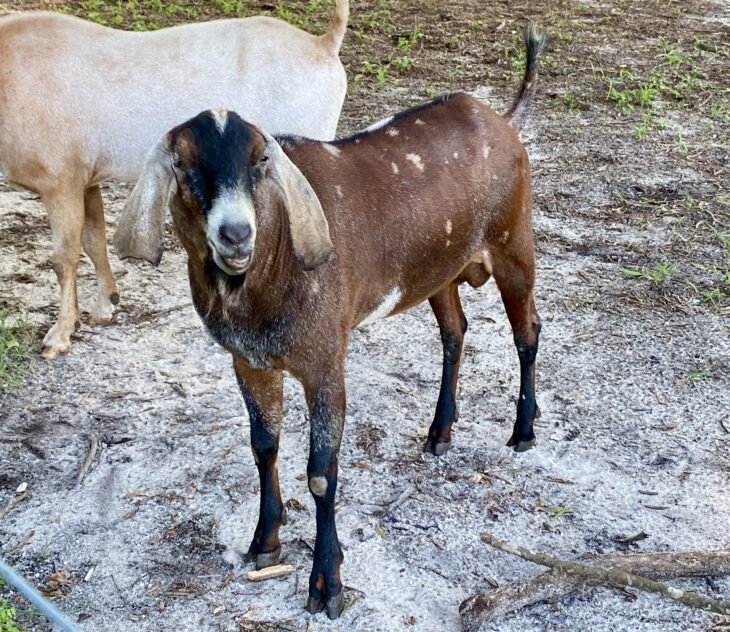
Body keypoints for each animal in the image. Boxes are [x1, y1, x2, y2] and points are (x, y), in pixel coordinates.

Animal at [0, 1, 348, 358]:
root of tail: (322, 45)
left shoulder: (60, 182)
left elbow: (63, 258)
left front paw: (58, 336)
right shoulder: (85, 180)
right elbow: (94, 240)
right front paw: (104, 307)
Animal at [114, 23, 546, 620]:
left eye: (260, 163)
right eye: (182, 165)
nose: (235, 234)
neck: (272, 260)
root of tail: (503, 119)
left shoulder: (324, 360)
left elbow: (321, 472)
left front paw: (327, 583)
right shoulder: (249, 360)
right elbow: (263, 447)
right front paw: (264, 541)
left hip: (513, 242)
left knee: (527, 332)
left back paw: (523, 430)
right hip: (439, 269)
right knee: (455, 330)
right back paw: (439, 432)